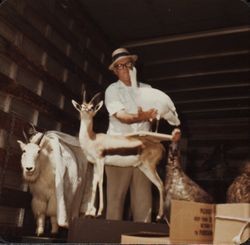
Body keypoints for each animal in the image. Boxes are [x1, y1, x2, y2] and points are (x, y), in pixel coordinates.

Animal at [71, 92, 179, 220]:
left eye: (92, 107)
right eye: (82, 106)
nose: (85, 111)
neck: (92, 138)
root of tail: (159, 145)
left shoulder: (100, 161)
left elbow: (101, 182)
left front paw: (99, 212)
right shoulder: (95, 164)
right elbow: (94, 184)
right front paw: (89, 212)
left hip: (149, 167)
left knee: (161, 184)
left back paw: (159, 216)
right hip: (144, 168)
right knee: (159, 185)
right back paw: (159, 216)